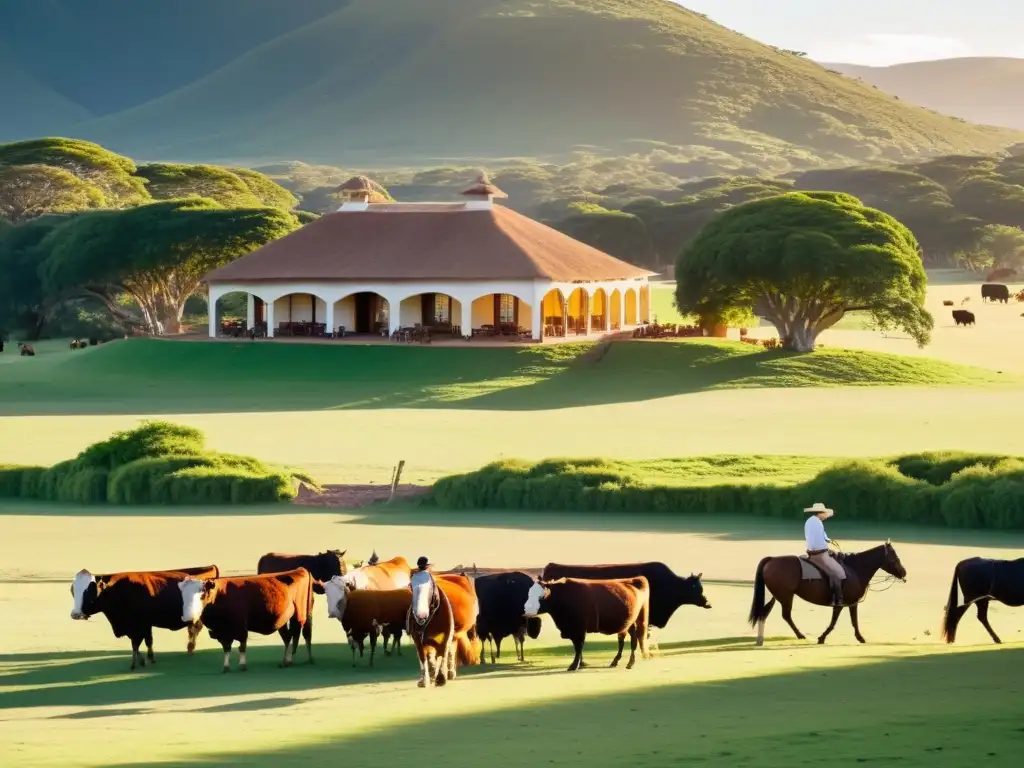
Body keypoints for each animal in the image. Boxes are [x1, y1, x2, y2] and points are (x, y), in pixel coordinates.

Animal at [72, 561, 224, 671]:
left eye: (90, 591)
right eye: (73, 591)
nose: (75, 614)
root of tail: (210, 567)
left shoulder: (142, 624)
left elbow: (142, 642)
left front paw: (145, 660)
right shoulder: (136, 627)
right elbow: (137, 644)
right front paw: (142, 660)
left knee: (195, 629)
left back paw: (191, 648)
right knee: (193, 629)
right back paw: (190, 648)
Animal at [180, 565, 313, 671]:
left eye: (202, 595)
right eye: (183, 596)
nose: (188, 616)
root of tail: (301, 569)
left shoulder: (241, 628)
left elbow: (242, 646)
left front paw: (242, 665)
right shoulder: (223, 633)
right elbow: (226, 648)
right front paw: (226, 667)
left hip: (302, 614)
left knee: (304, 634)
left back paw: (305, 659)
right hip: (282, 621)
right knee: (288, 637)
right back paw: (286, 661)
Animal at [749, 540, 909, 651]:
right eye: (895, 557)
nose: (903, 572)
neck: (854, 569)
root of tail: (772, 559)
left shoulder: (850, 603)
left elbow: (851, 621)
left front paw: (858, 637)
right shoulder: (845, 603)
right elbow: (837, 622)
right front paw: (823, 637)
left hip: (774, 596)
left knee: (764, 614)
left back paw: (760, 639)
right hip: (785, 596)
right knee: (785, 615)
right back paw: (800, 635)